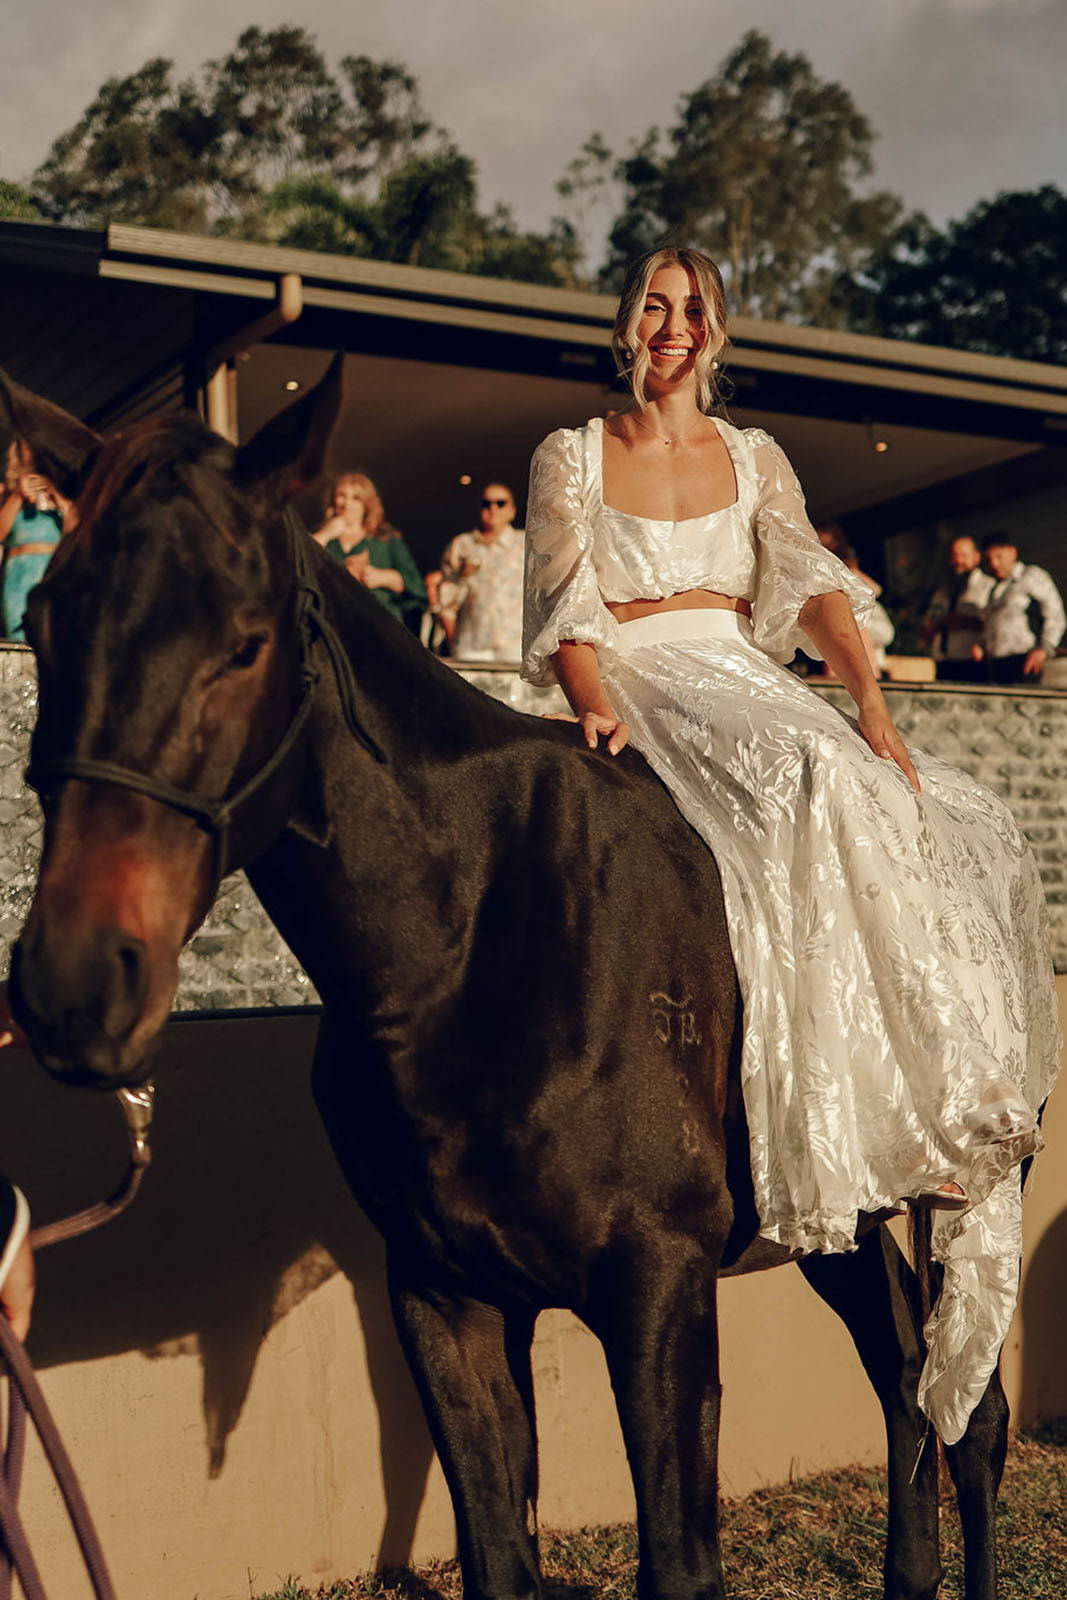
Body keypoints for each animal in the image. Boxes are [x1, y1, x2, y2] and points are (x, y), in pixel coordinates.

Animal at [2, 363, 1011, 1600]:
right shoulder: (446, 1296)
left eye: (242, 643)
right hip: (844, 1213)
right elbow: (496, 1556)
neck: (477, 927)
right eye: (43, 624)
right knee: (904, 1380)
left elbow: (679, 1562)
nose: (71, 984)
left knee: (970, 1418)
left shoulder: (658, 1288)